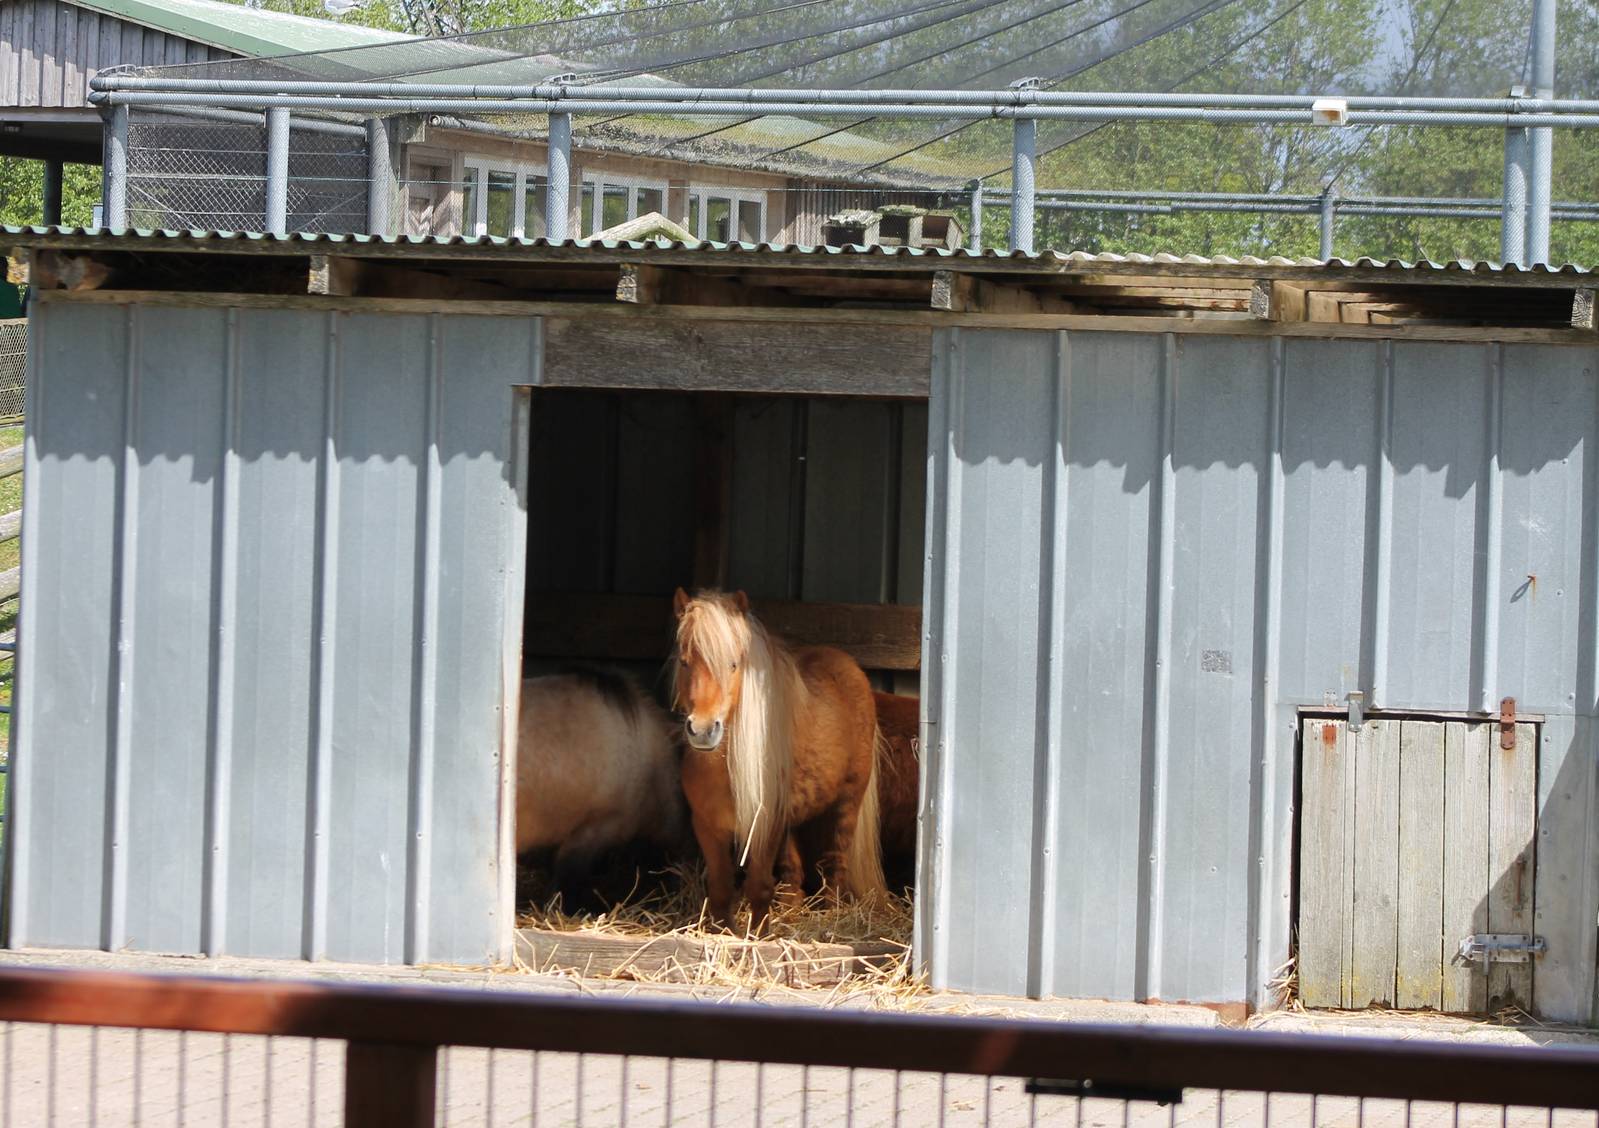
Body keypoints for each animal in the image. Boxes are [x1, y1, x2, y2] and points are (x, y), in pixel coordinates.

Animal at [671, 587, 886, 930]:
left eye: (734, 665)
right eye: (684, 661)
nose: (703, 730)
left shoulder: (764, 826)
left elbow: (758, 887)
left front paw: (758, 934)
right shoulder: (707, 826)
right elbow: (720, 887)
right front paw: (723, 931)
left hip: (848, 802)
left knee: (836, 862)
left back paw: (834, 914)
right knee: (793, 871)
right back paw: (791, 911)